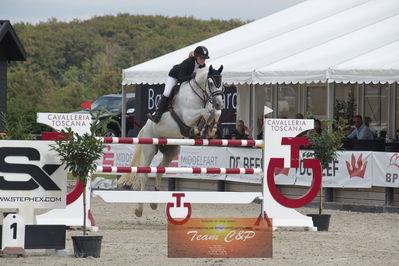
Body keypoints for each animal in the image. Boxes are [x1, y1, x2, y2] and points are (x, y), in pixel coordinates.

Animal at [119, 65, 225, 217]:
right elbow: (205, 112)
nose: (219, 104)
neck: (198, 93)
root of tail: (145, 127)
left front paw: (209, 130)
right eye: (210, 83)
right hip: (150, 149)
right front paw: (197, 130)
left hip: (171, 150)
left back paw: (154, 203)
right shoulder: (188, 116)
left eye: (222, 84)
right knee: (144, 174)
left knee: (159, 171)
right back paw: (139, 210)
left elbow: (213, 113)